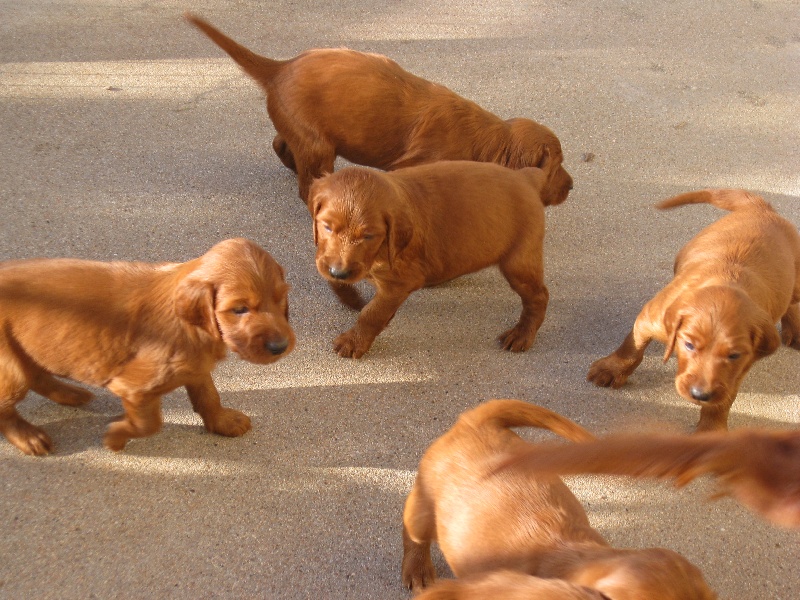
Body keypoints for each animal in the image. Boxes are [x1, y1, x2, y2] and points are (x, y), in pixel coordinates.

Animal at [0, 238, 296, 454]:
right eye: (239, 309)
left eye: (281, 299)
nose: (280, 346)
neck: (192, 328)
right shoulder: (134, 388)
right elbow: (149, 424)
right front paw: (115, 438)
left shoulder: (196, 367)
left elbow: (209, 396)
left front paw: (223, 421)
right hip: (9, 366)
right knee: (9, 400)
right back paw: (29, 437)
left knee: (37, 374)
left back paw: (71, 394)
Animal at [184, 14, 572, 206]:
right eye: (556, 165)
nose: (572, 186)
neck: (487, 139)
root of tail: (280, 67)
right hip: (319, 145)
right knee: (307, 184)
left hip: (305, 131)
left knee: (282, 144)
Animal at [310, 159, 560, 358]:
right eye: (327, 227)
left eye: (369, 236)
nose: (339, 272)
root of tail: (525, 177)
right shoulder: (331, 260)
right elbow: (334, 278)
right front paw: (351, 298)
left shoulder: (401, 282)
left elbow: (372, 313)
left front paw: (354, 342)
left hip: (518, 262)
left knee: (539, 296)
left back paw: (522, 335)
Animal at [588, 190, 800, 428]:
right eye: (688, 345)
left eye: (734, 355)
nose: (700, 395)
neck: (726, 281)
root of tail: (761, 208)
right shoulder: (651, 319)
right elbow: (632, 346)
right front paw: (611, 369)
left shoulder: (740, 367)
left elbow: (723, 399)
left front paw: (711, 429)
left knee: (793, 301)